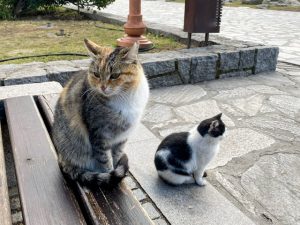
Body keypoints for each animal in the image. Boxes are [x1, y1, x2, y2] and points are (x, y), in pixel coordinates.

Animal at [52, 38, 150, 186]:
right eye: (96, 74)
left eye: (115, 75)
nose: (103, 87)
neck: (123, 99)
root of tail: (61, 158)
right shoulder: (98, 135)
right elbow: (105, 161)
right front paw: (111, 174)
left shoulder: (121, 139)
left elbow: (117, 155)